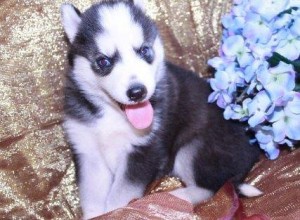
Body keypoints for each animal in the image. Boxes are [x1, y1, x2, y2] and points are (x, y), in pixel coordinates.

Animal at [61, 0, 262, 219]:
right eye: (103, 61)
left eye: (144, 51)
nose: (137, 92)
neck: (113, 115)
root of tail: (253, 149)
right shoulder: (88, 152)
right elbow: (92, 196)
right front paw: (97, 214)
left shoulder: (143, 150)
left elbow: (120, 195)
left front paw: (118, 212)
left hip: (194, 148)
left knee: (211, 188)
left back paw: (173, 198)